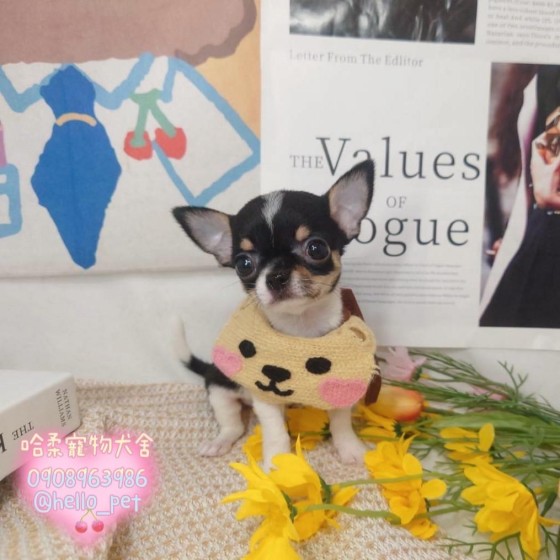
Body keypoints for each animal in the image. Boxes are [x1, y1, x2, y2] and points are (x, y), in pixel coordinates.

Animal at [172, 158, 374, 469]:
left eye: (316, 248)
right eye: (243, 264)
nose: (276, 276)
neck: (300, 327)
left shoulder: (339, 384)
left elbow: (341, 421)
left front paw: (350, 449)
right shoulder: (263, 394)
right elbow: (274, 429)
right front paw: (278, 465)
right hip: (219, 386)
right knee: (232, 424)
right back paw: (219, 442)